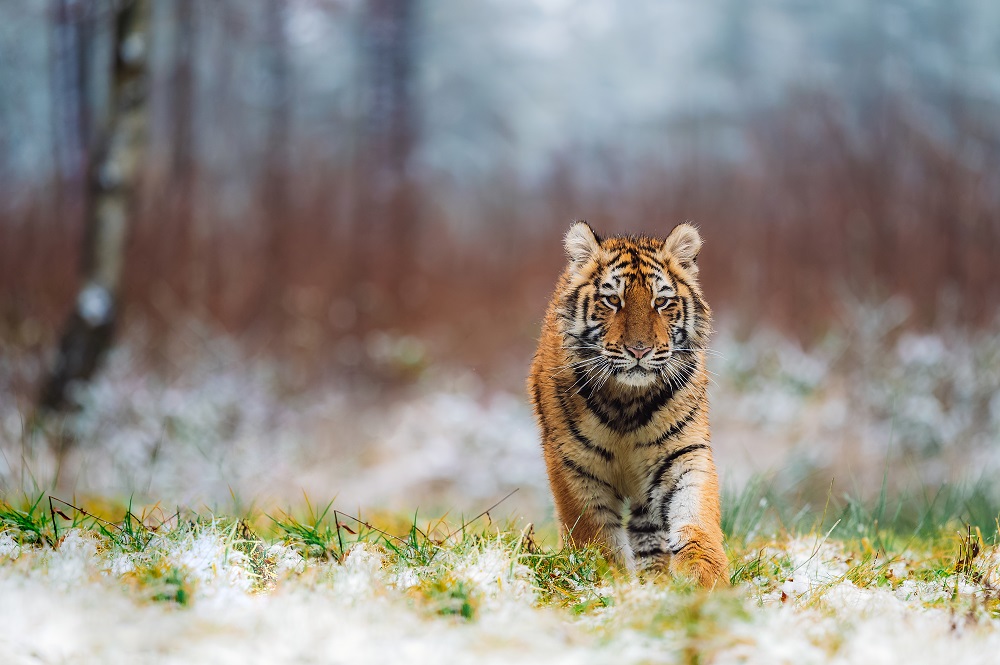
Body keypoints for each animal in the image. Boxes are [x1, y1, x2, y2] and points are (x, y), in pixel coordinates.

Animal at [528, 220, 724, 584]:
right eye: (612, 300)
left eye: (661, 302)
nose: (639, 350)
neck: (627, 401)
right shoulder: (575, 466)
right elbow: (595, 535)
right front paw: (609, 580)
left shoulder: (683, 452)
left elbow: (695, 513)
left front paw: (705, 577)